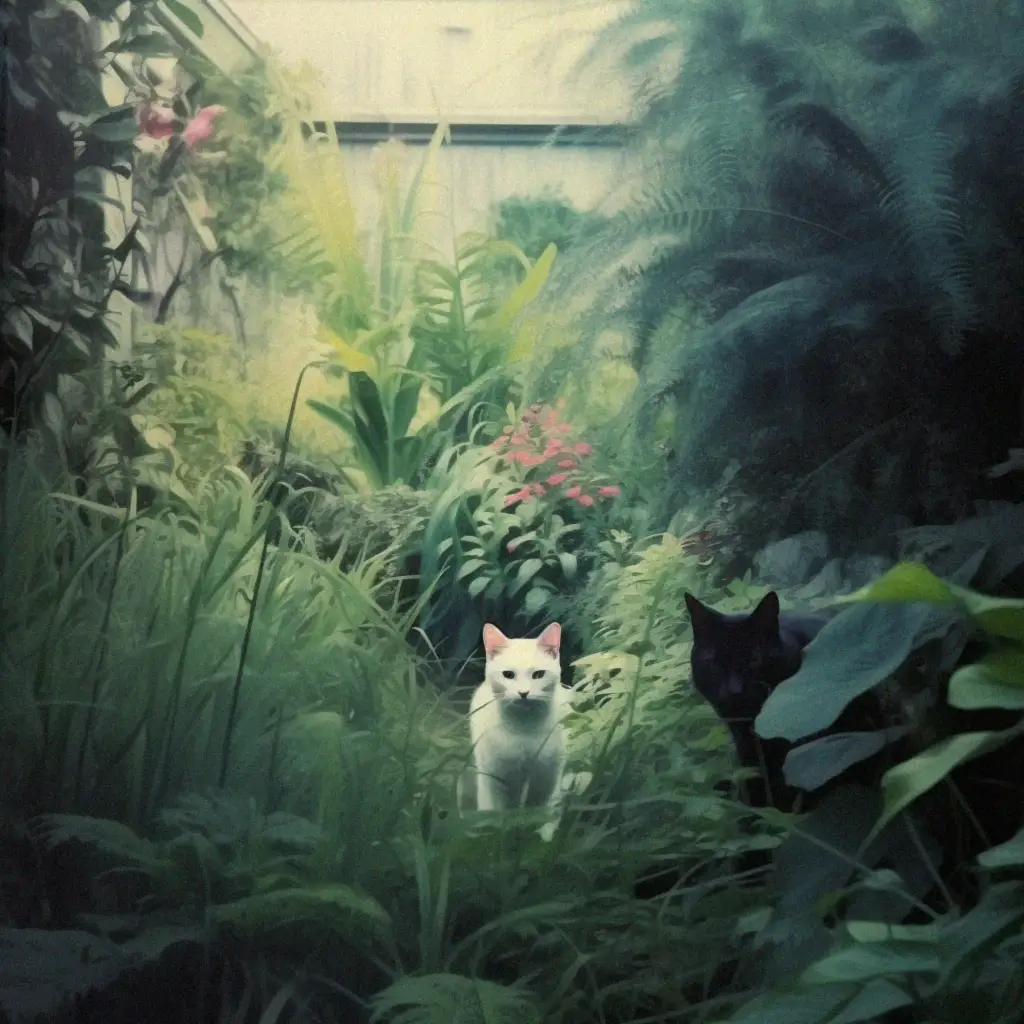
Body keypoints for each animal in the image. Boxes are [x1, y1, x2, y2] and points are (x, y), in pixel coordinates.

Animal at [464, 618, 569, 819]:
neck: (524, 728)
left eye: (538, 674)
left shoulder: (546, 780)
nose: (523, 693)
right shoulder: (498, 780)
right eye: (508, 675)